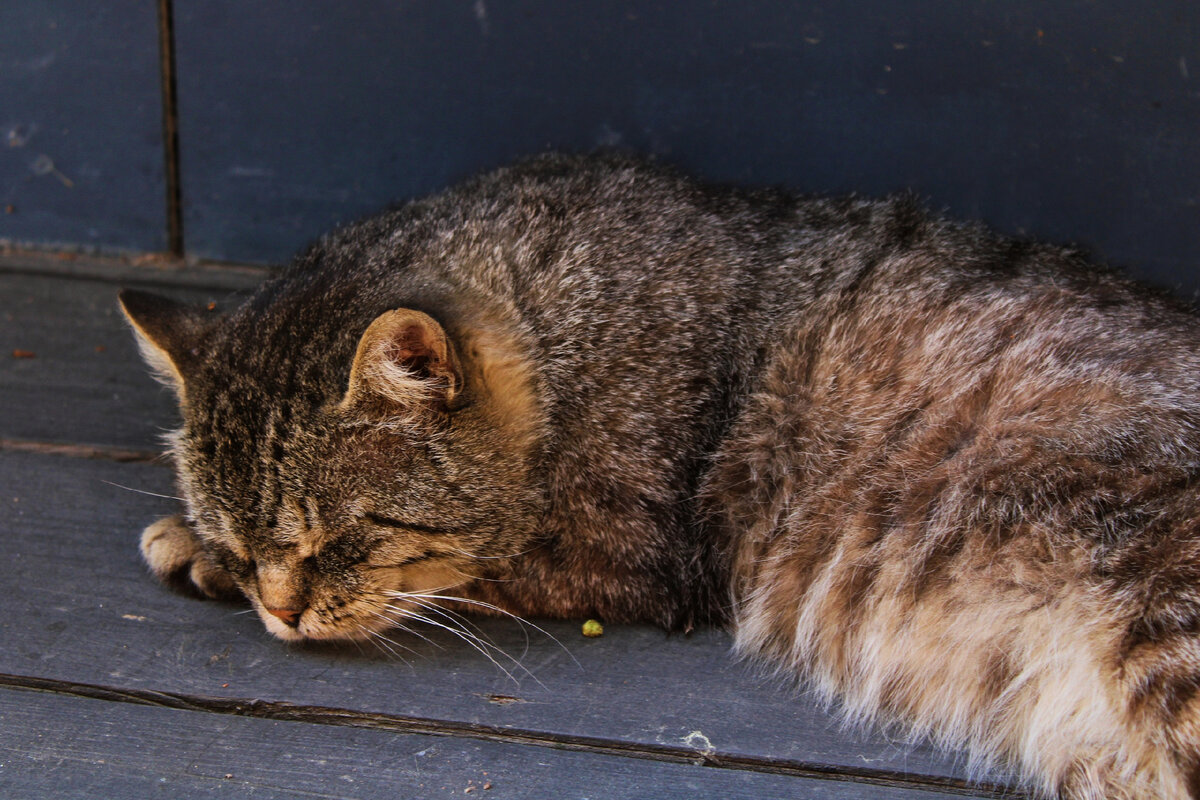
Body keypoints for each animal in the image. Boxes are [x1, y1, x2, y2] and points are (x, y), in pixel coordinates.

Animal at [119, 151, 1200, 800]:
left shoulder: (625, 553)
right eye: (241, 536)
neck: (557, 332)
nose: (280, 610)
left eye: (347, 538)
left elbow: (463, 576)